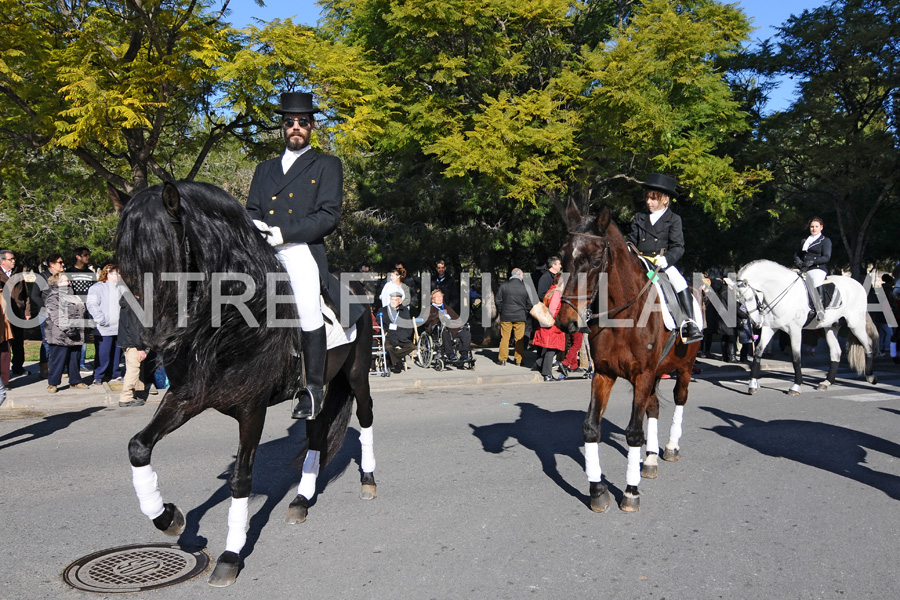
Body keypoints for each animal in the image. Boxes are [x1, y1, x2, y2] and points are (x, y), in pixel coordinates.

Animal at [110, 182, 374, 584]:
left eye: (169, 258)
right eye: (125, 266)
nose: (156, 341)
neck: (231, 319)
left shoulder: (252, 408)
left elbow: (241, 479)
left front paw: (231, 555)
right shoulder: (187, 396)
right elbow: (139, 446)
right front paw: (167, 517)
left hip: (357, 375)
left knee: (366, 415)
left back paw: (369, 481)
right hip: (316, 393)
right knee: (316, 432)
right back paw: (301, 500)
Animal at [560, 202, 700, 510]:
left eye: (596, 261)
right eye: (563, 256)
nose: (566, 322)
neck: (623, 316)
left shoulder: (643, 374)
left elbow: (634, 431)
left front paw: (631, 491)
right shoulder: (604, 373)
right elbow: (591, 427)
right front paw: (597, 490)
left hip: (684, 368)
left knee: (680, 399)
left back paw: (670, 447)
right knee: (654, 408)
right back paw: (650, 460)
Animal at [724, 258, 880, 394]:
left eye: (750, 298)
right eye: (737, 302)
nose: (756, 323)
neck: (781, 291)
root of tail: (858, 284)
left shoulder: (795, 330)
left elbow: (796, 357)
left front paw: (795, 386)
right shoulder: (770, 328)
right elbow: (758, 352)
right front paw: (752, 384)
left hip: (855, 324)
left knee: (868, 345)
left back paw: (871, 377)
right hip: (831, 327)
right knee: (836, 352)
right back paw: (826, 382)